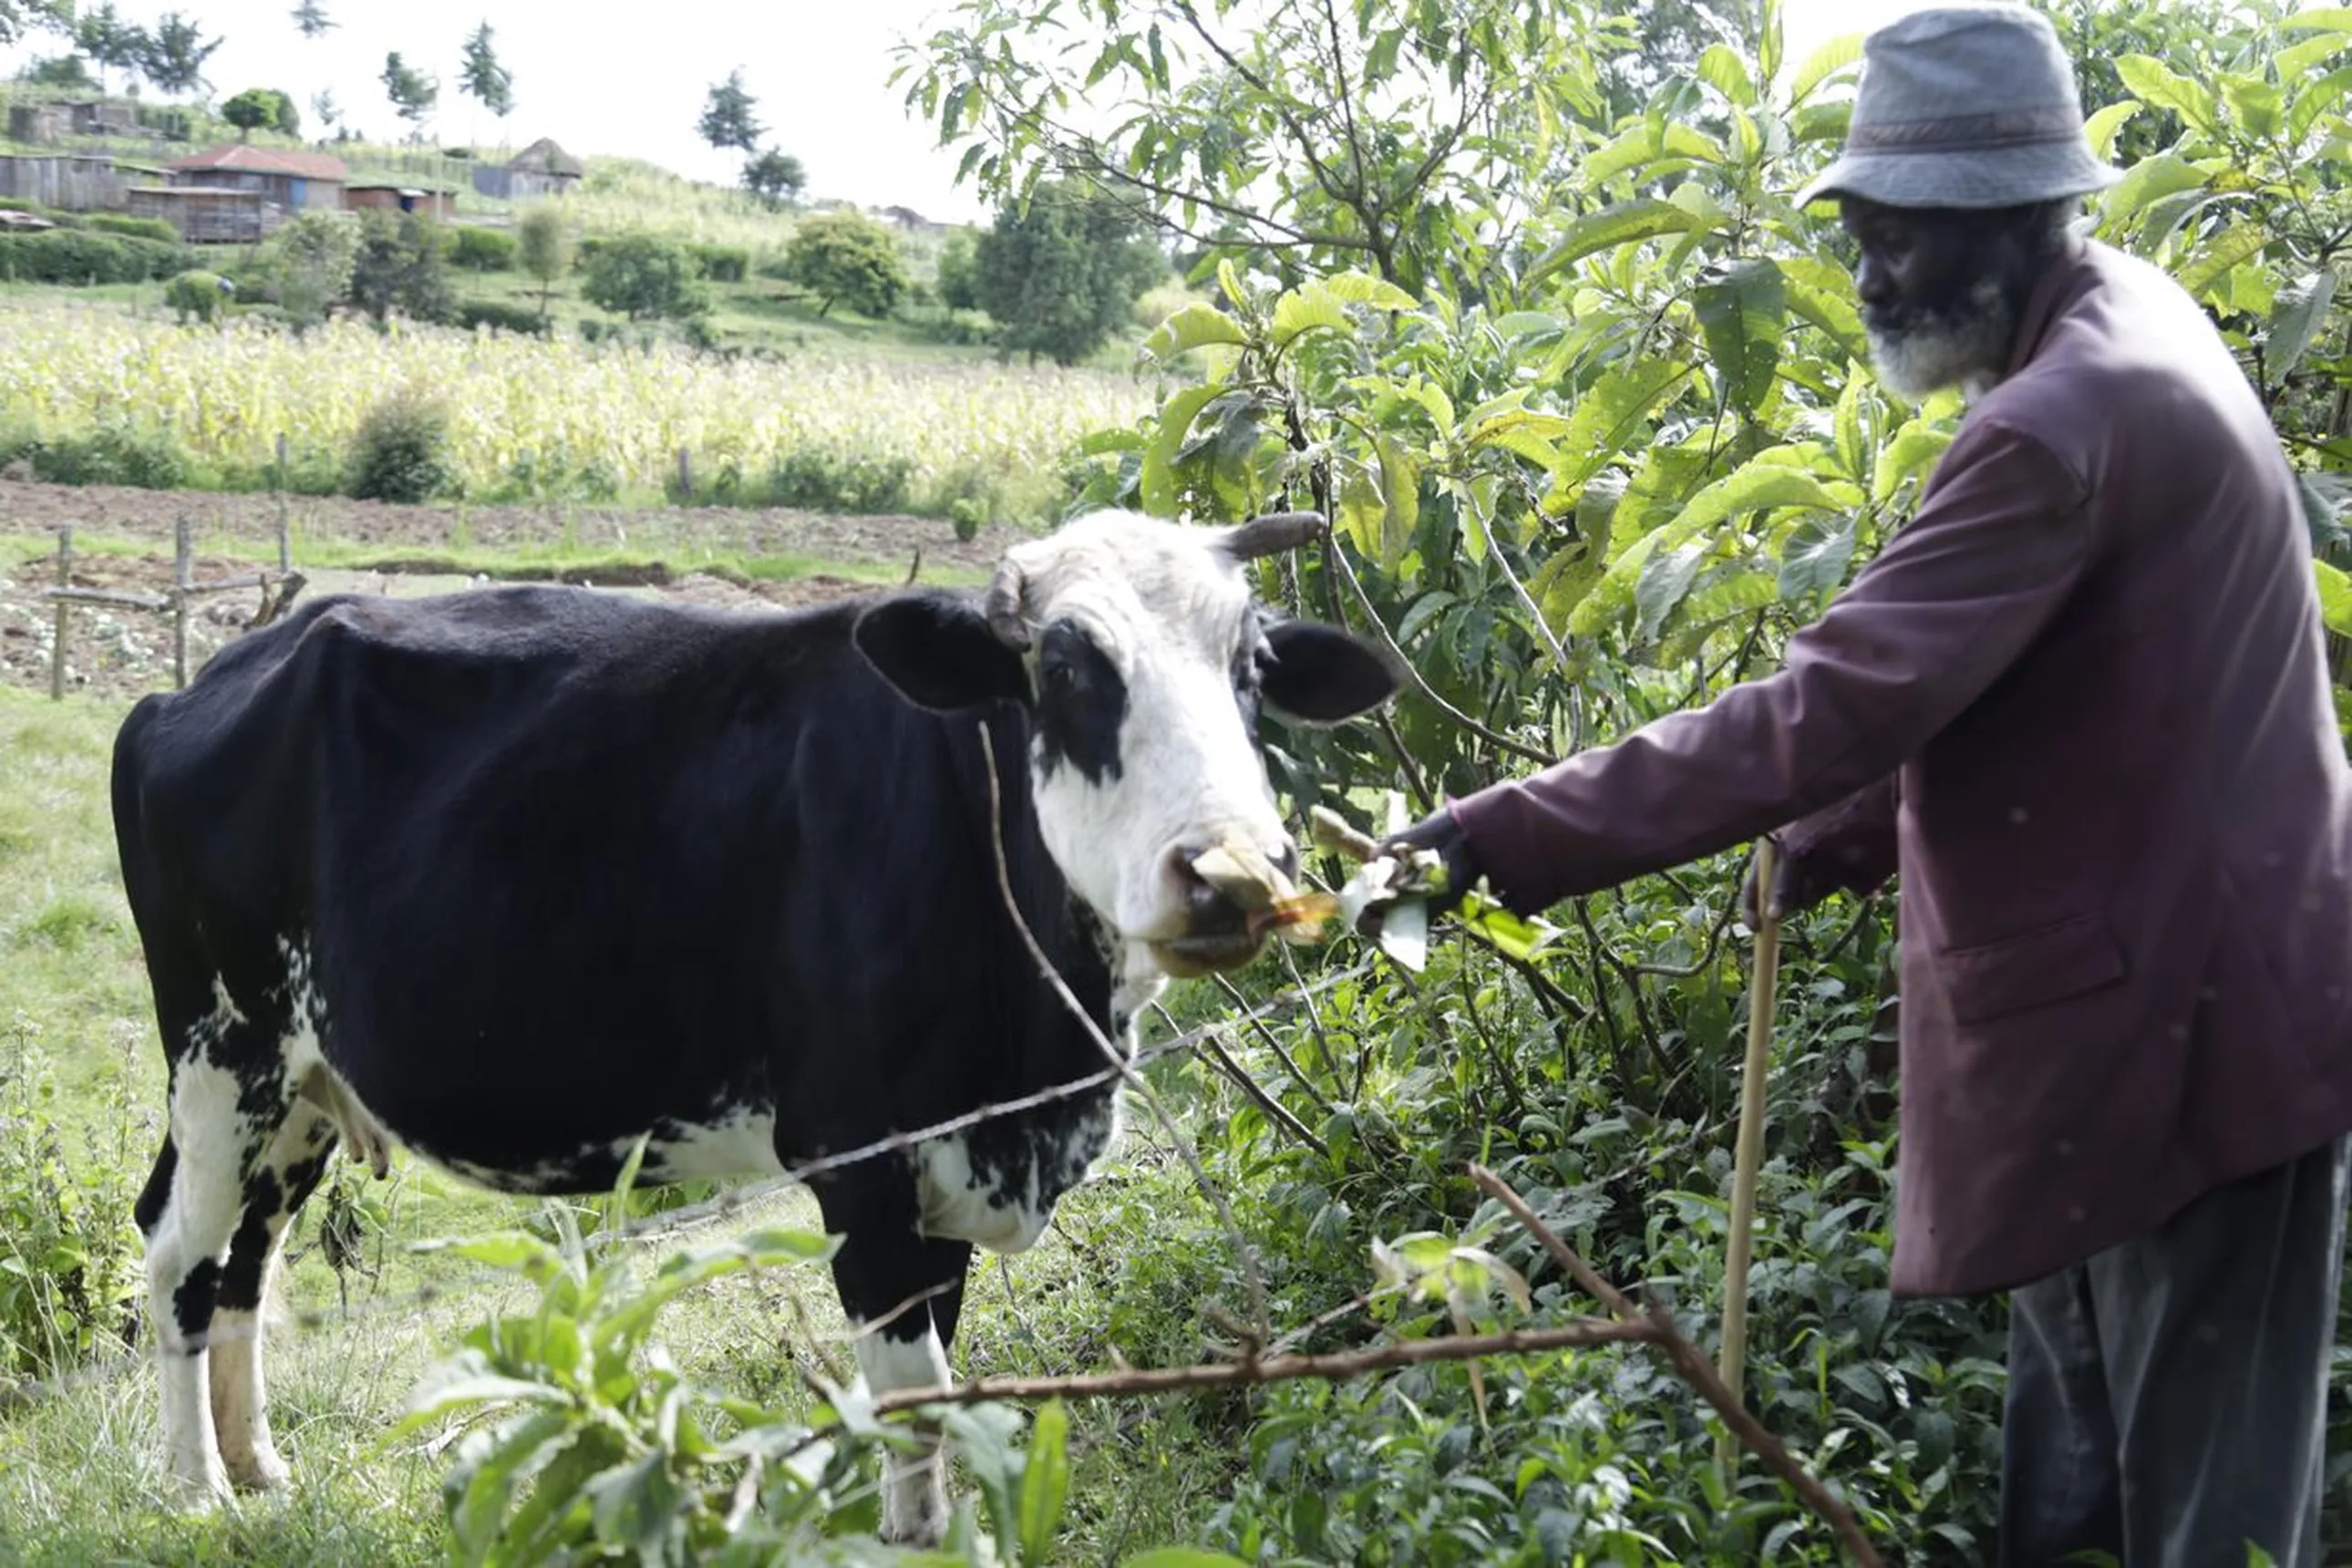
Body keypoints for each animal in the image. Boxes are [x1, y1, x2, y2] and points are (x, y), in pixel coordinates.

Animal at [107, 505, 1403, 1543]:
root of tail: (202, 677)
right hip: (224, 1045)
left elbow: (929, 1390)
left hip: (301, 1086)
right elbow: (912, 1403)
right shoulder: (858, 1156)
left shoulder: (951, 1162)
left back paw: (259, 1468)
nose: (1234, 872)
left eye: (1252, 666)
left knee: (247, 1256)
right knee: (177, 1247)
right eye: (1070, 670)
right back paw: (196, 1490)